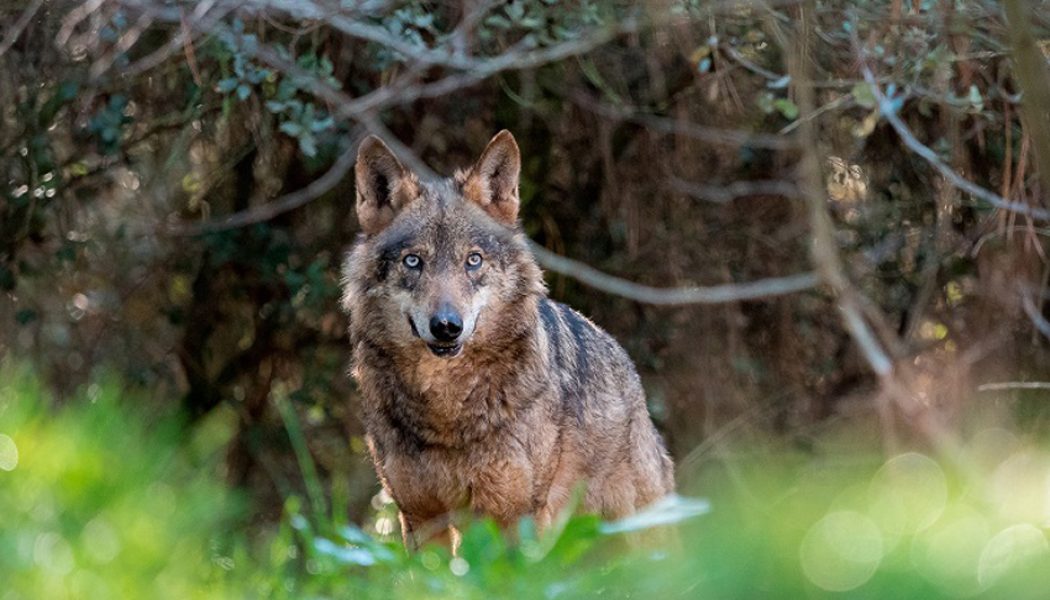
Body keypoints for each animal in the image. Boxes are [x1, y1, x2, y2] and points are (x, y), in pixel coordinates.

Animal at [340, 131, 676, 550]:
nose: (447, 326)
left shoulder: (515, 514)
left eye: (473, 260)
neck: (446, 410)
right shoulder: (420, 517)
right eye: (413, 261)